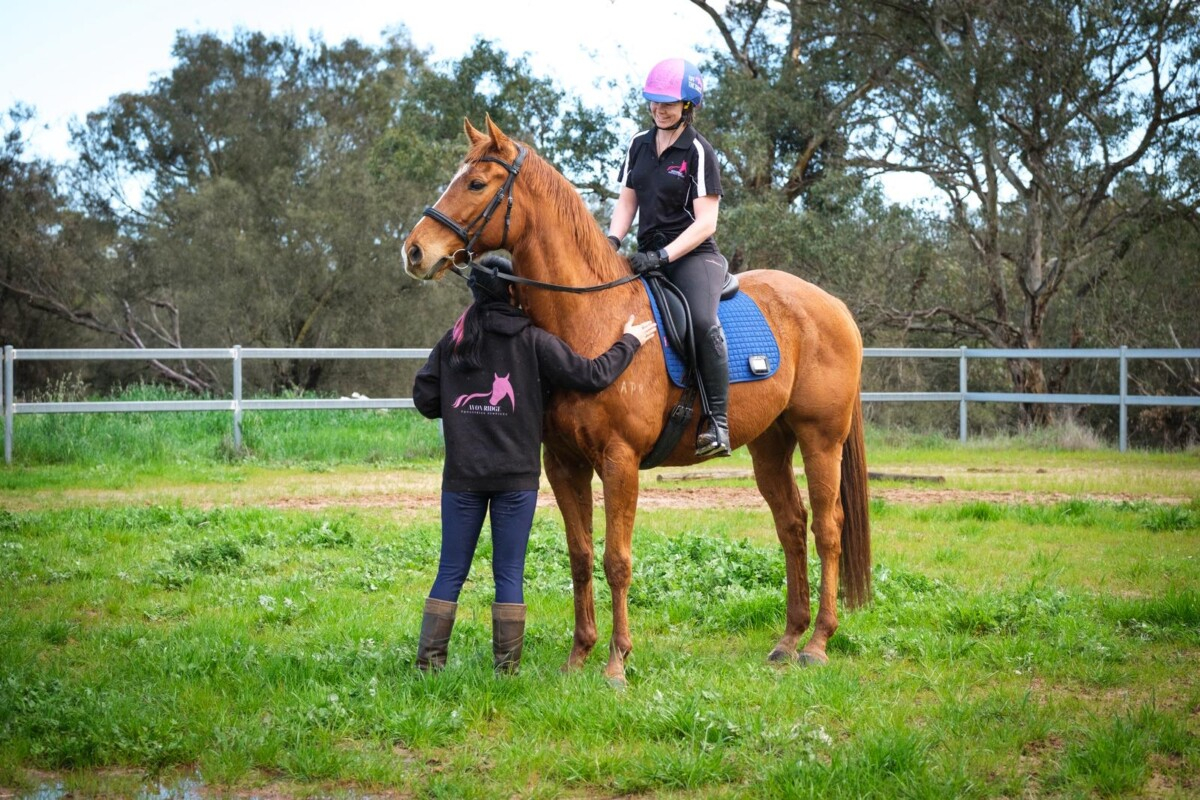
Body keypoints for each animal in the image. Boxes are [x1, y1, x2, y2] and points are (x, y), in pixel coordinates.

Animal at [404, 116, 870, 685]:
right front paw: (578, 656)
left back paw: (818, 642)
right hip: (770, 446)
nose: (415, 251)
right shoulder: (564, 464)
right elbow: (581, 556)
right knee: (792, 526)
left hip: (821, 438)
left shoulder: (619, 461)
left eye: (475, 183)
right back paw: (788, 639)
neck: (591, 319)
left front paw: (616, 664)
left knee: (827, 528)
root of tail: (832, 306)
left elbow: (617, 560)